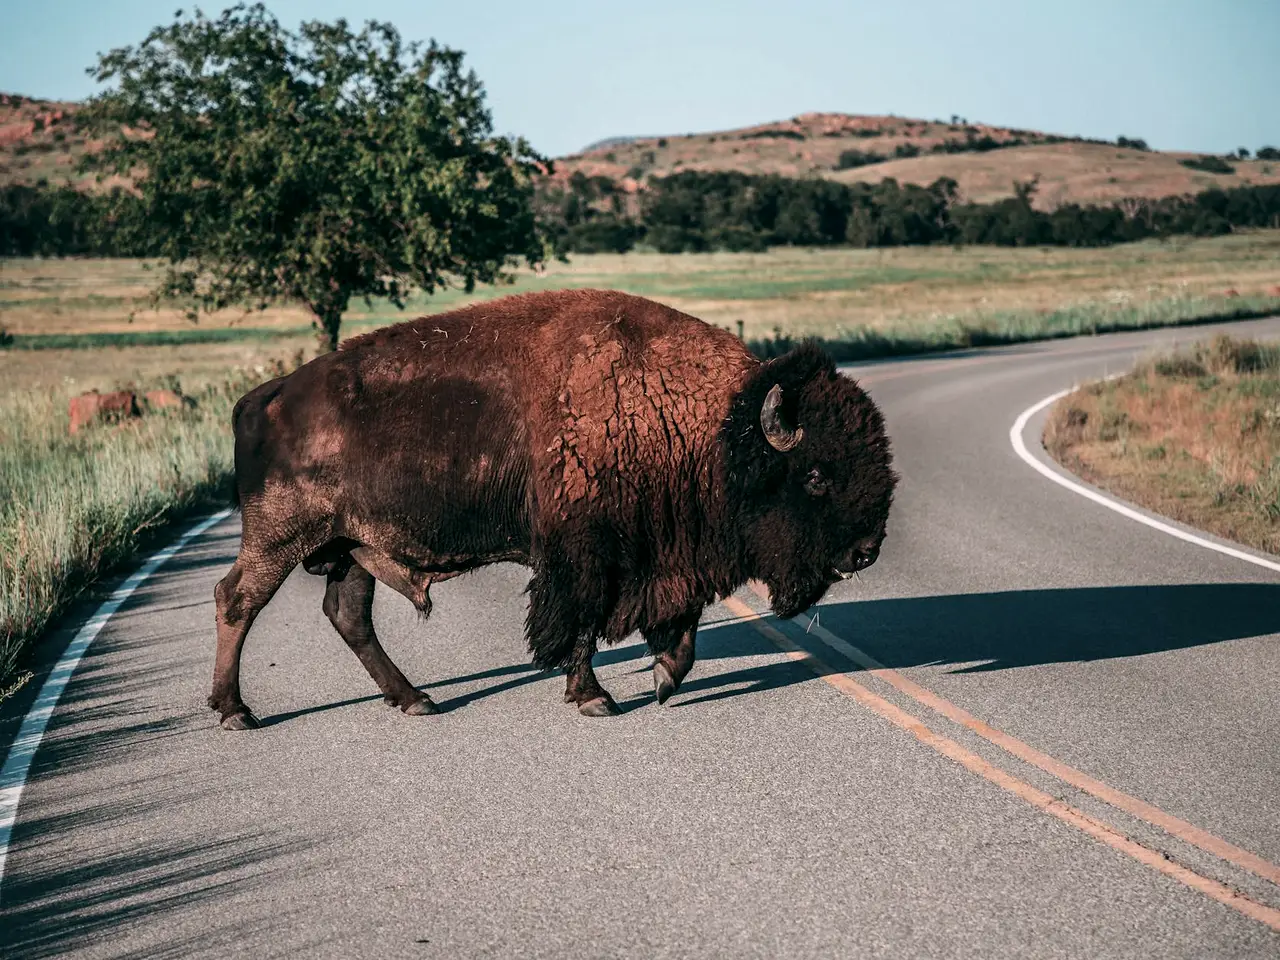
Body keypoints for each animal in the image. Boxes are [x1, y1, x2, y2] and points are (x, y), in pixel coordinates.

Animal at [211, 290, 896, 729]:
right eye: (815, 474)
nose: (866, 551)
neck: (712, 425)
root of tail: (261, 397)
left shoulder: (665, 554)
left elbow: (681, 628)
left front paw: (662, 680)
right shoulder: (587, 555)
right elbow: (581, 625)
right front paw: (596, 698)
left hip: (353, 547)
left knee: (347, 615)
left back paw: (415, 700)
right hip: (282, 536)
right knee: (237, 599)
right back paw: (236, 712)